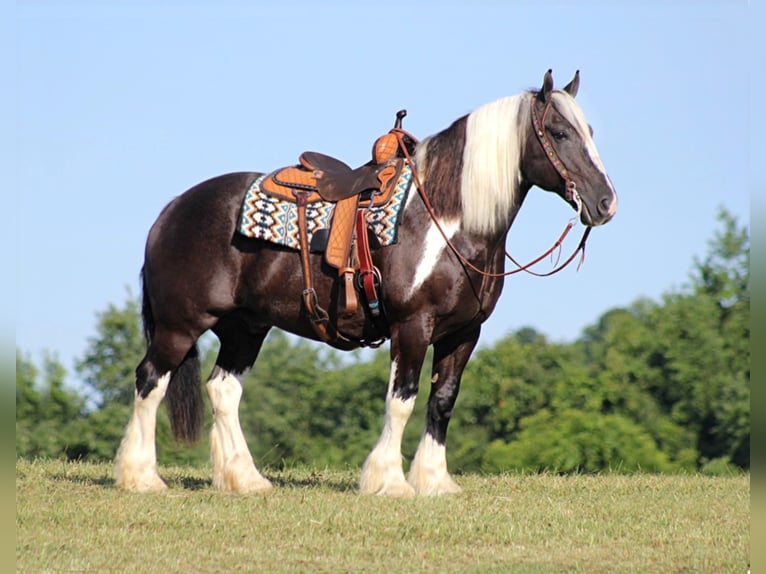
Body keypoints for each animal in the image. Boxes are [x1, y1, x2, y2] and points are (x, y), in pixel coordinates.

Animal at [114, 71, 616, 496]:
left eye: (590, 131)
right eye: (559, 133)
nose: (606, 203)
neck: (446, 220)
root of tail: (173, 209)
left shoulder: (463, 333)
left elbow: (443, 401)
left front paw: (434, 482)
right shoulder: (412, 326)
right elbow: (403, 399)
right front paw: (389, 482)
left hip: (245, 328)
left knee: (223, 390)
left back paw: (246, 479)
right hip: (180, 325)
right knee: (150, 380)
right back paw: (142, 478)